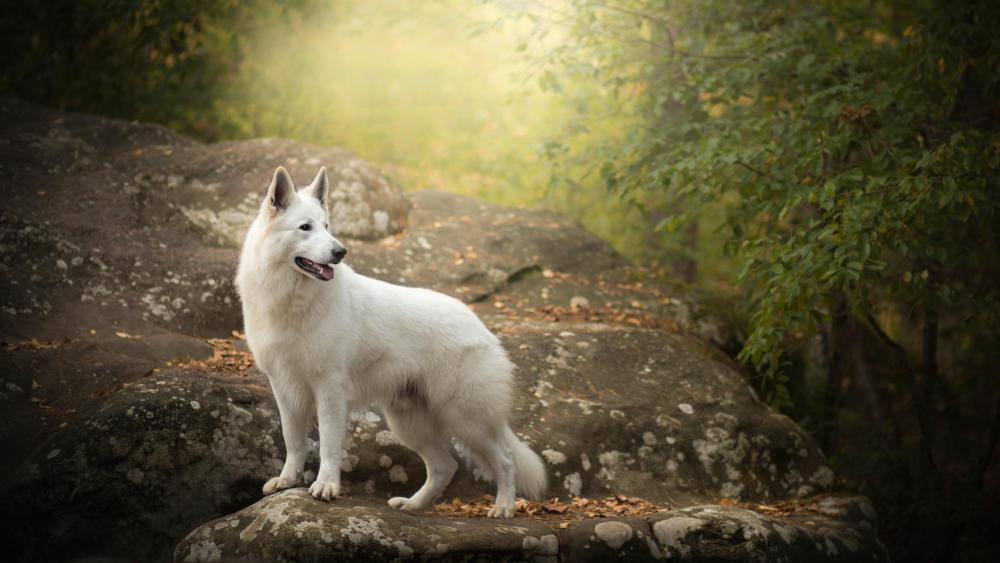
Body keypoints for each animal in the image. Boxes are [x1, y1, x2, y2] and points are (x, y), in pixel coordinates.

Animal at [234, 165, 548, 516]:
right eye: (305, 227)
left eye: (327, 227)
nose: (340, 252)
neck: (293, 300)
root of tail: (482, 327)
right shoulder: (285, 388)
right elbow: (292, 440)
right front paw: (287, 480)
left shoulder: (329, 389)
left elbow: (328, 444)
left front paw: (326, 486)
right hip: (409, 423)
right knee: (445, 466)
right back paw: (413, 505)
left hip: (466, 419)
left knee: (505, 461)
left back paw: (503, 507)